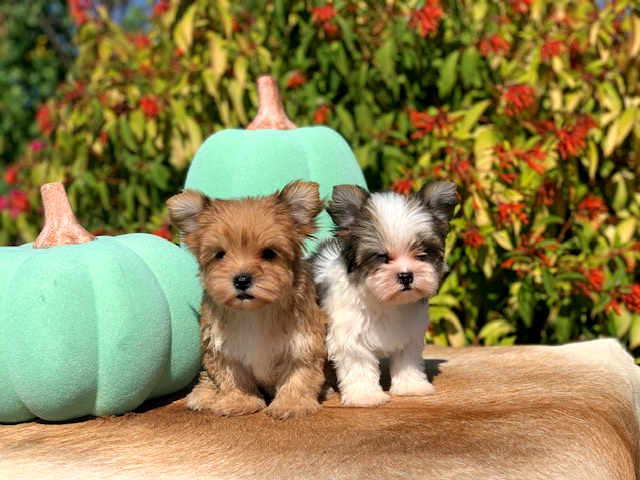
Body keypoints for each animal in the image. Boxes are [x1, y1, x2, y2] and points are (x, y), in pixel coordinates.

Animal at [168, 182, 328, 418]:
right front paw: (239, 401)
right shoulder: (222, 349)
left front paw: (291, 404)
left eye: (269, 254)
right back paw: (205, 394)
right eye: (220, 255)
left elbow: (299, 374)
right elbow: (231, 377)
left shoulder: (303, 342)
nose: (242, 280)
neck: (253, 311)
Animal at [312, 182, 458, 406]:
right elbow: (359, 364)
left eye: (421, 254)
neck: (386, 301)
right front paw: (365, 396)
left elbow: (407, 359)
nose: (406, 276)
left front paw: (411, 386)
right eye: (382, 256)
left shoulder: (410, 332)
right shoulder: (350, 334)